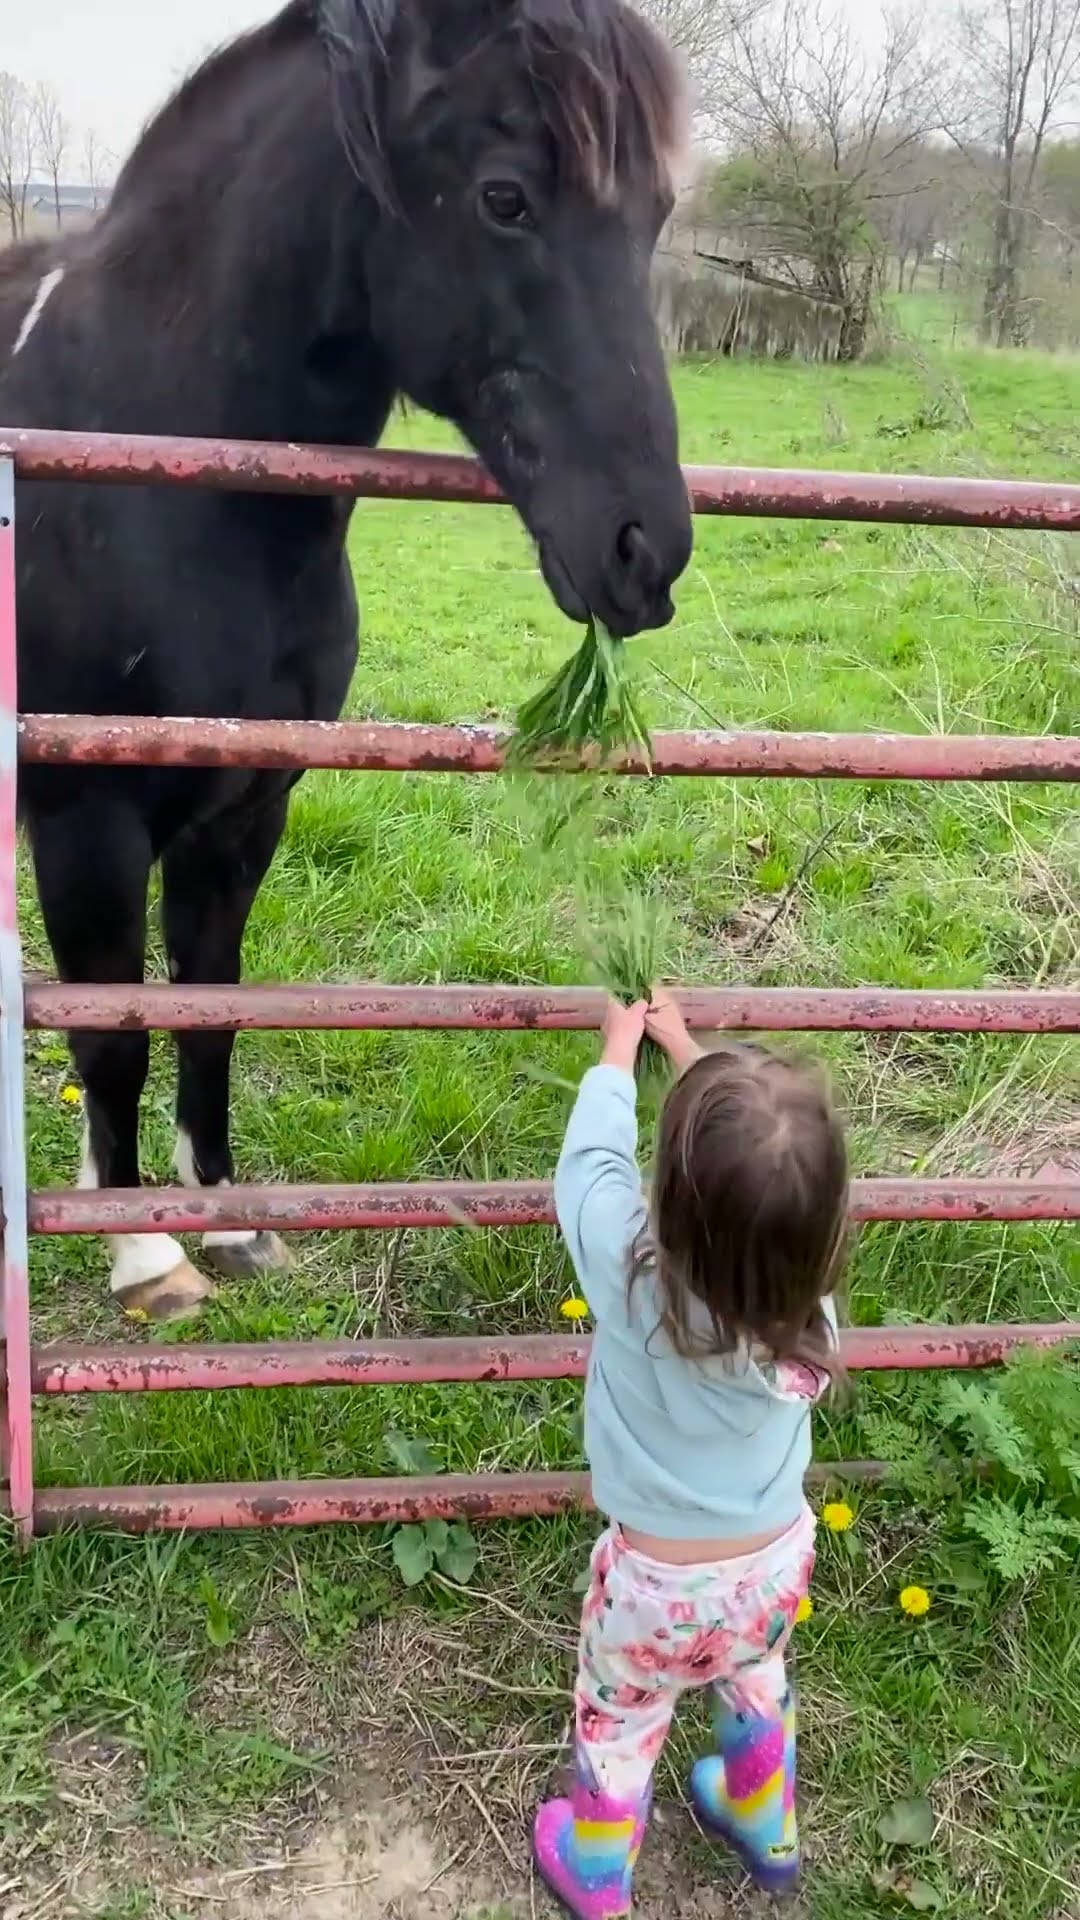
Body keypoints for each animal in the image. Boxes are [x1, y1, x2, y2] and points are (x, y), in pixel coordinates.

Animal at [0, 0, 687, 1320]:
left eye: (658, 216)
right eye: (505, 197)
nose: (648, 550)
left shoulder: (242, 816)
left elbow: (205, 1015)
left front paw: (221, 1223)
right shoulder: (85, 820)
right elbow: (111, 1032)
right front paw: (143, 1255)